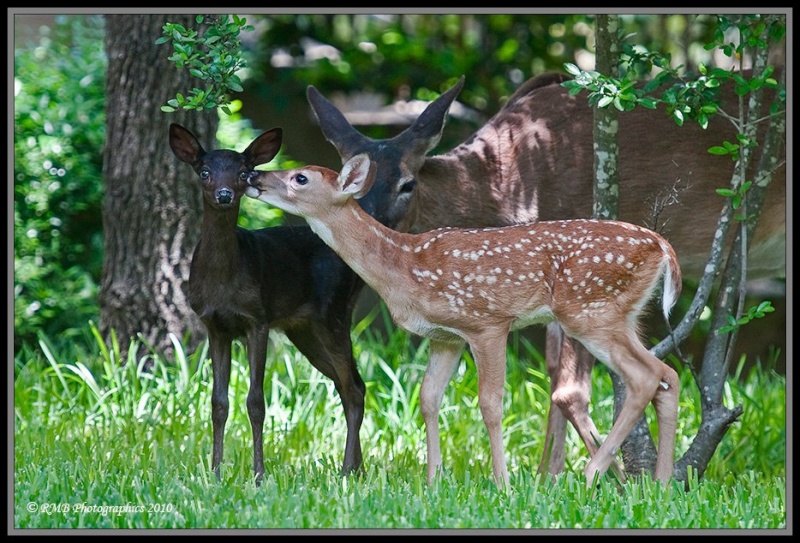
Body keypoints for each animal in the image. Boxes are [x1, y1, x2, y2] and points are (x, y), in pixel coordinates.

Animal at [170, 123, 370, 484]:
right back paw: (357, 469)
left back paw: (348, 471)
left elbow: (255, 402)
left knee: (353, 389)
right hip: (303, 330)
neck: (223, 281)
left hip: (333, 314)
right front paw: (215, 473)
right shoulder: (214, 325)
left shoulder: (257, 319)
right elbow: (218, 403)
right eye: (204, 172)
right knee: (349, 384)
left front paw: (259, 475)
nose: (224, 195)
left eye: (242, 172)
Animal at [248, 153, 680, 488]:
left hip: (590, 310)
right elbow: (428, 399)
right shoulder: (445, 337)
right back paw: (661, 484)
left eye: (300, 177)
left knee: (645, 376)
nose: (253, 176)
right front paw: (433, 480)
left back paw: (591, 476)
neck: (405, 266)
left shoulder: (487, 322)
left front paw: (502, 483)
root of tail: (662, 245)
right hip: (622, 314)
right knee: (667, 375)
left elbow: (490, 404)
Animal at [306, 70, 788, 478]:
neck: (510, 181)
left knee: (638, 376)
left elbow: (565, 389)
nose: (367, 225)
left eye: (408, 184)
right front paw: (547, 476)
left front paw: (578, 478)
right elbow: (551, 379)